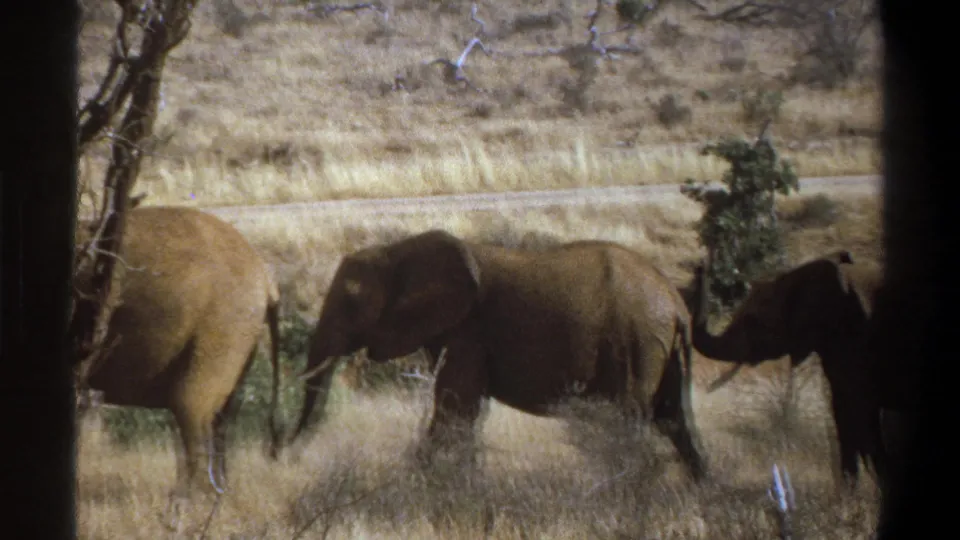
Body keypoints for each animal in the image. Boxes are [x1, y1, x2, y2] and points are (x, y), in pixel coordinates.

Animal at [73, 206, 282, 498]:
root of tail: (266, 279)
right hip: (240, 335)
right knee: (220, 419)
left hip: (222, 327)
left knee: (191, 408)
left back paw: (188, 501)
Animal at [285, 229, 709, 482]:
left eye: (351, 300)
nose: (286, 455)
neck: (399, 248)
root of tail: (676, 303)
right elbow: (464, 413)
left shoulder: (469, 333)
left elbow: (454, 410)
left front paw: (418, 488)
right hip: (659, 347)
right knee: (677, 420)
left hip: (636, 343)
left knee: (631, 421)